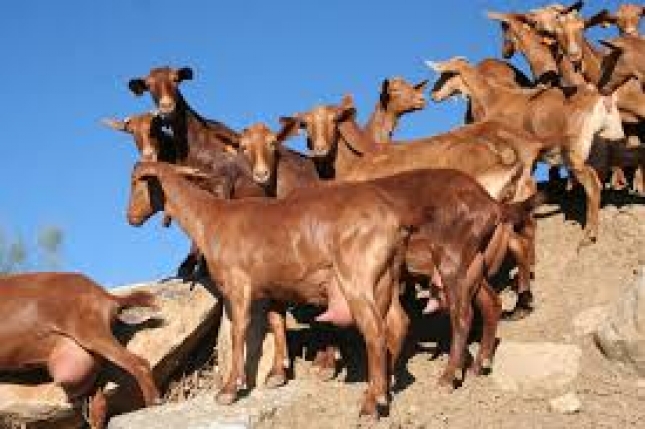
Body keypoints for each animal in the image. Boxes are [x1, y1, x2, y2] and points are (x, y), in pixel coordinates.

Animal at [0, 272, 160, 429]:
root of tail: (104, 294)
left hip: (90, 332)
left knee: (139, 363)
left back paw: (153, 403)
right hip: (93, 358)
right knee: (99, 403)